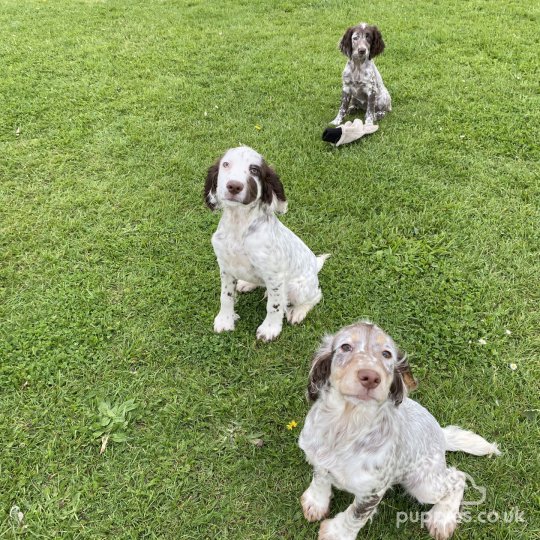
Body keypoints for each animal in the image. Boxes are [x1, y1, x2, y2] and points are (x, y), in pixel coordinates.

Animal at [204, 147, 326, 342]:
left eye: (254, 170)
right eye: (226, 164)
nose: (234, 186)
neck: (239, 225)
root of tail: (315, 265)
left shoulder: (274, 276)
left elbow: (274, 306)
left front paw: (270, 329)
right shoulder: (225, 267)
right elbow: (226, 295)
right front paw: (225, 319)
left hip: (298, 287)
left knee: (314, 296)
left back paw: (298, 311)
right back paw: (246, 284)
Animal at [298, 320, 500, 540]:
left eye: (387, 354)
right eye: (345, 347)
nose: (370, 377)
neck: (346, 423)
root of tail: (441, 434)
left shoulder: (373, 490)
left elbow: (355, 516)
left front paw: (336, 533)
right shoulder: (319, 458)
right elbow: (320, 479)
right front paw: (315, 503)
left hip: (422, 483)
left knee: (458, 478)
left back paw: (441, 519)